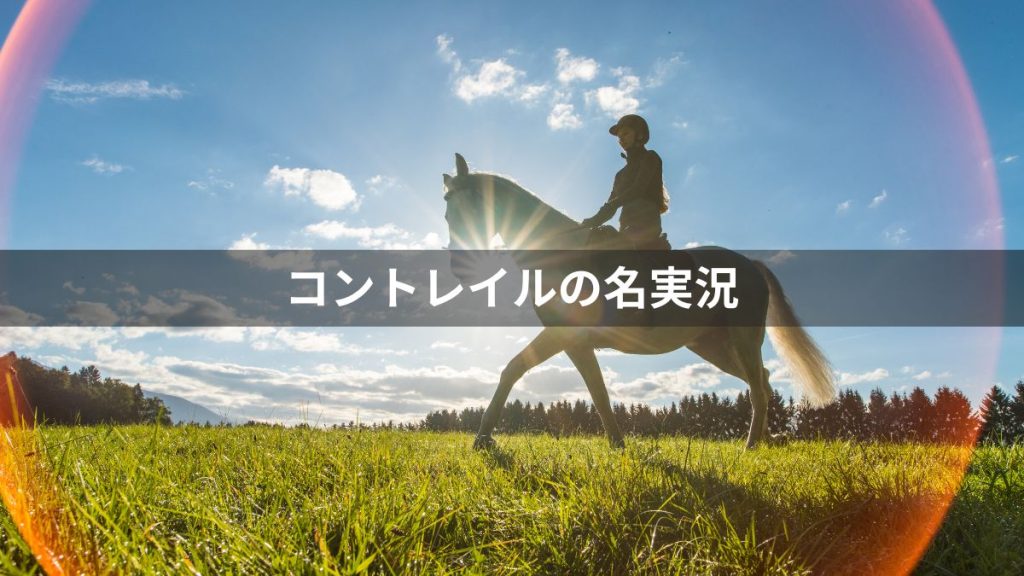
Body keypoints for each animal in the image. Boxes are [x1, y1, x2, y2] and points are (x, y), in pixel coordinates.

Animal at [442, 153, 835, 449]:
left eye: (471, 208)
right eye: (448, 214)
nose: (459, 268)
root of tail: (750, 264)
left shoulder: (563, 336)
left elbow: (514, 369)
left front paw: (482, 439)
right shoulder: (574, 344)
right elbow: (597, 393)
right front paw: (618, 445)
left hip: (742, 339)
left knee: (757, 389)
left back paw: (751, 445)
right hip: (712, 346)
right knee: (761, 383)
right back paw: (765, 442)